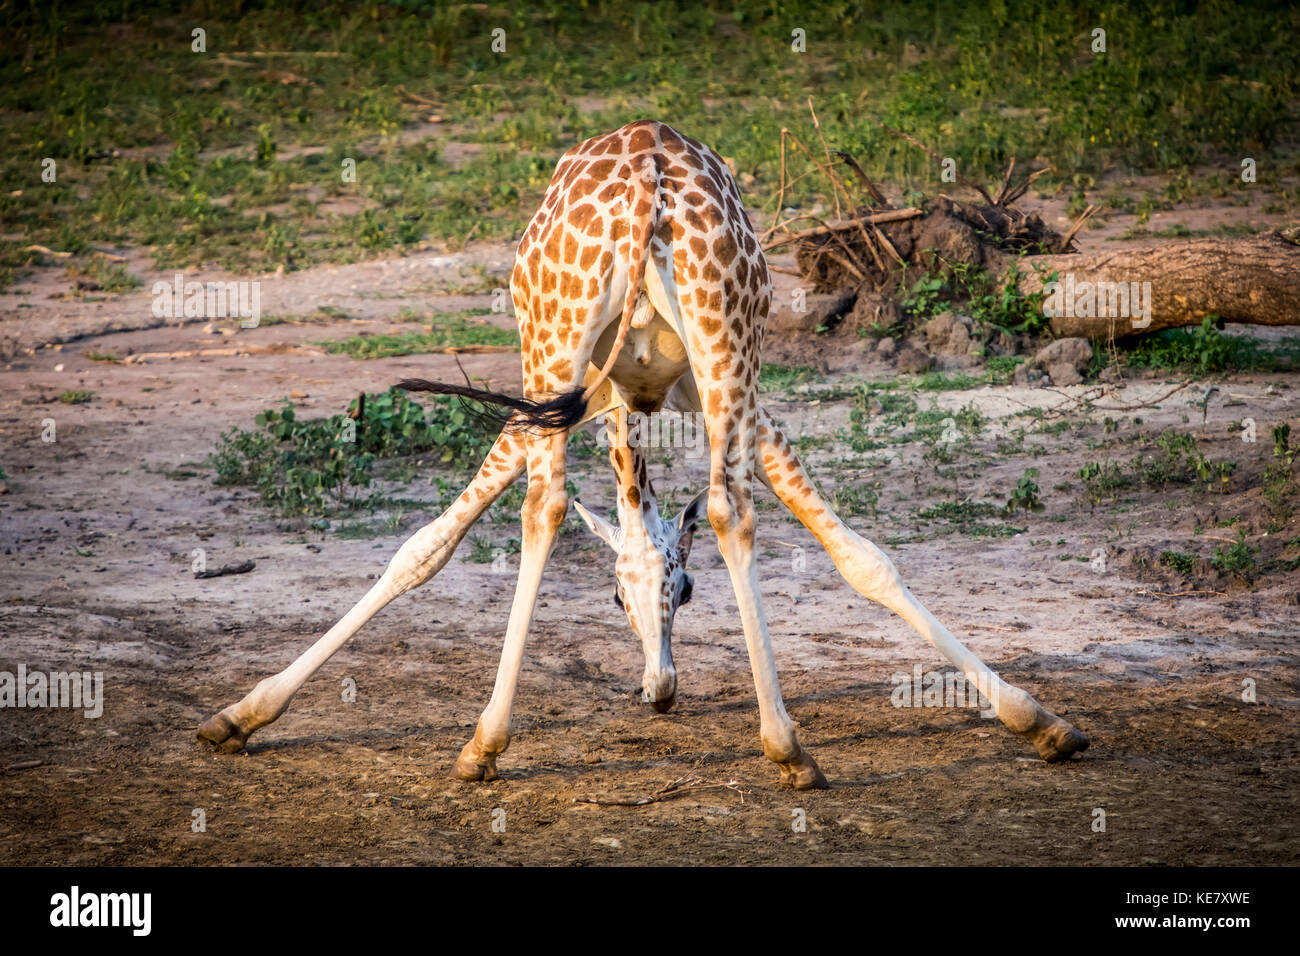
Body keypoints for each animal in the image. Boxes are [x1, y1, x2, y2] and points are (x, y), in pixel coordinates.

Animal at [199, 120, 1089, 788]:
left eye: (683, 593)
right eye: (619, 599)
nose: (660, 689)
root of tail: (647, 185)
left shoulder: (608, 397)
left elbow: (426, 546)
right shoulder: (683, 401)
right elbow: (423, 550)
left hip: (567, 352)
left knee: (555, 505)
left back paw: (491, 744)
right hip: (709, 351)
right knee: (716, 507)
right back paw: (783, 747)